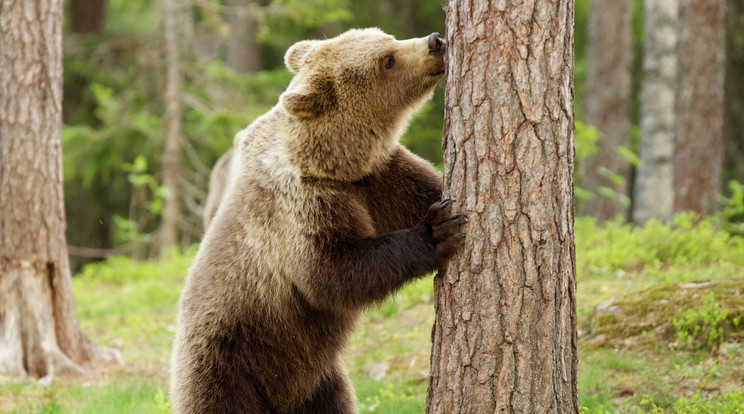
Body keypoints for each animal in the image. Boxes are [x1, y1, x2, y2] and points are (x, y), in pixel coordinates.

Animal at [171, 27, 468, 412]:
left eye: (387, 38)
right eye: (387, 61)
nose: (435, 41)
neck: (335, 163)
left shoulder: (381, 177)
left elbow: (425, 187)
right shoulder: (301, 207)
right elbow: (331, 272)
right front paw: (438, 229)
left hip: (320, 380)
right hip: (229, 361)